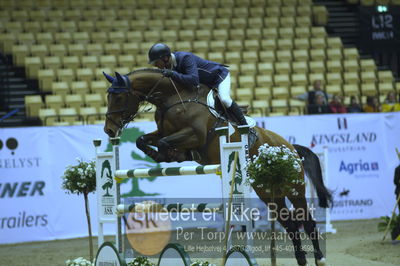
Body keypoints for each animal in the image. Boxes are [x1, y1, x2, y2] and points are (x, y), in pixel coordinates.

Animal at [102, 69, 332, 266]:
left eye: (119, 98)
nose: (109, 130)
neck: (172, 98)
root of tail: (289, 147)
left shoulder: (194, 135)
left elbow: (165, 143)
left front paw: (167, 155)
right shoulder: (163, 132)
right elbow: (143, 140)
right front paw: (164, 155)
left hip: (293, 186)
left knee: (307, 221)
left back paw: (319, 258)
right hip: (267, 190)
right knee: (290, 223)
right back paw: (301, 259)